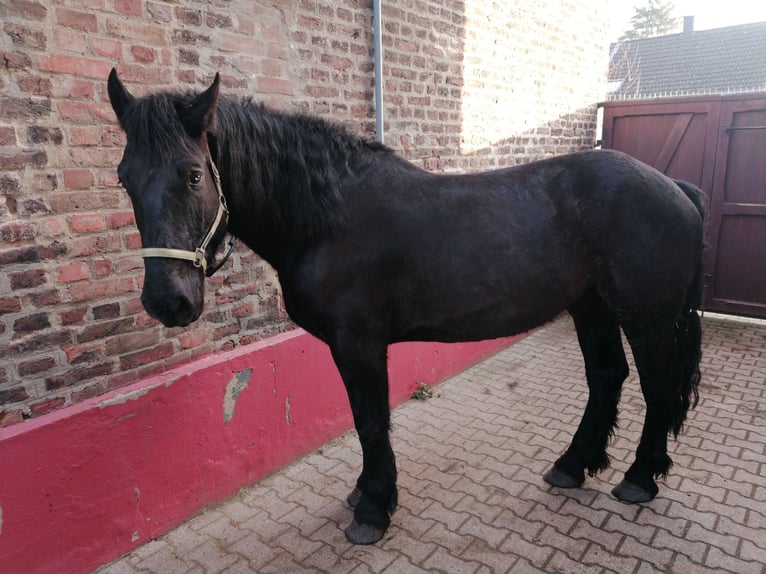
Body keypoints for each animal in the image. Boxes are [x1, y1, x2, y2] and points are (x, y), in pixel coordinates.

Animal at [107, 69, 704, 545]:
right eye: (124, 178)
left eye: (192, 173)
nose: (168, 300)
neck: (327, 216)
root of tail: (672, 185)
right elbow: (364, 420)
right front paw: (364, 494)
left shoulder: (360, 343)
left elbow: (371, 421)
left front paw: (373, 509)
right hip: (593, 309)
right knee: (606, 377)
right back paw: (572, 466)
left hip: (646, 319)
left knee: (656, 388)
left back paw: (639, 479)